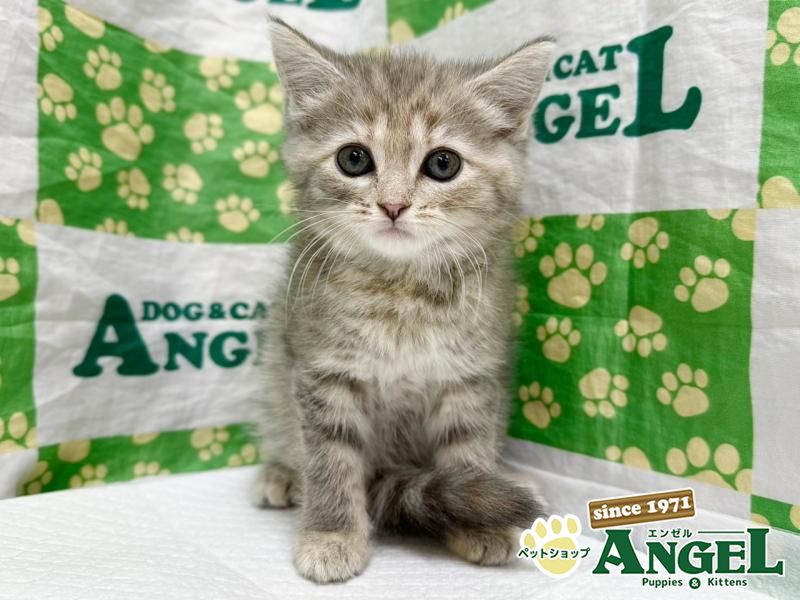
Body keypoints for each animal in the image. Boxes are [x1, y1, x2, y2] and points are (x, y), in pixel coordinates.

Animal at [254, 17, 555, 583]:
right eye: (354, 158)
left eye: (443, 164)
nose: (393, 205)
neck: (401, 292)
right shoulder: (321, 368)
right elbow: (330, 458)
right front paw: (331, 535)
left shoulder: (472, 374)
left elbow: (467, 447)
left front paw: (480, 523)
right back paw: (280, 475)